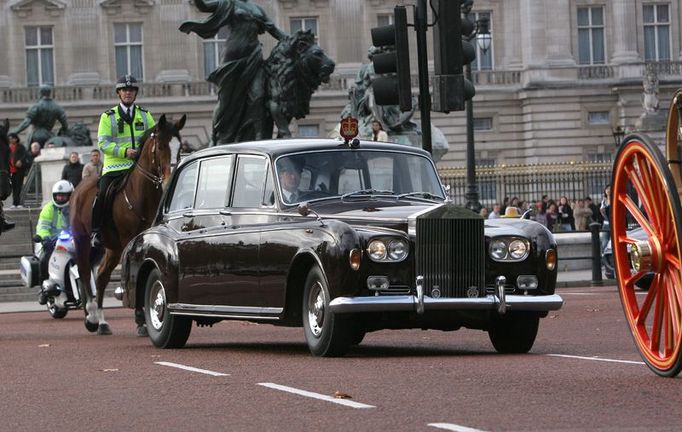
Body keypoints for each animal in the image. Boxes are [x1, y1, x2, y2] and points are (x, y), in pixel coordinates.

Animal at [70, 114, 185, 334]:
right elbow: (133, 276)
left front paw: (142, 320)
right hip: (83, 240)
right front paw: (141, 318)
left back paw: (102, 322)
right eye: (160, 147)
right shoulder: (129, 242)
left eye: (180, 147)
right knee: (84, 271)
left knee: (101, 275)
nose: (169, 180)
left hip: (112, 248)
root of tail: (79, 188)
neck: (142, 196)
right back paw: (91, 316)